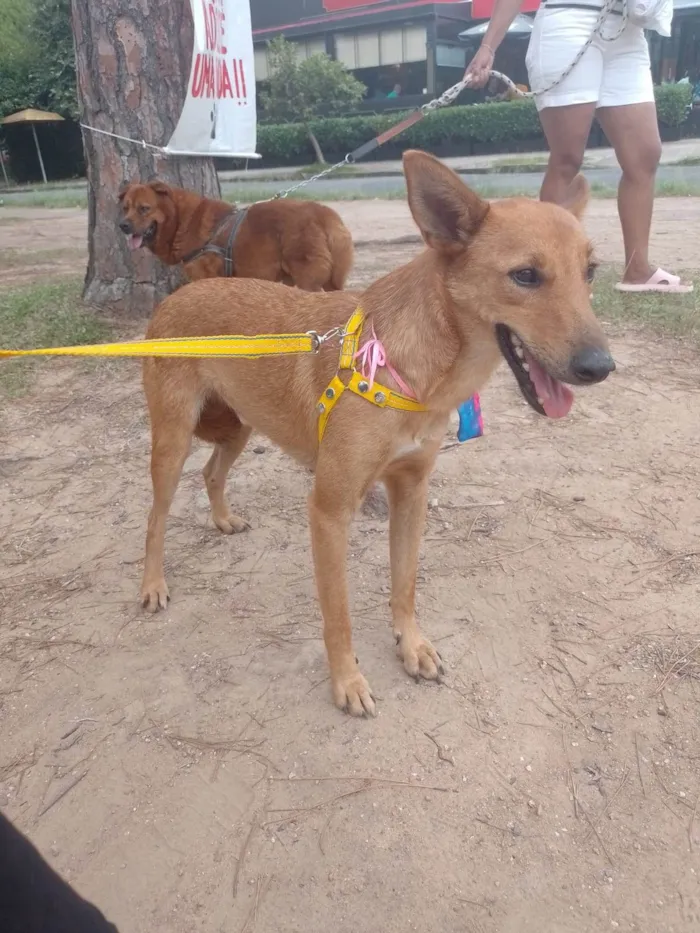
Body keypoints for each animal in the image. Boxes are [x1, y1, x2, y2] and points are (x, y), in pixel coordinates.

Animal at [118, 178, 356, 288]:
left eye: (144, 208)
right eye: (125, 207)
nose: (123, 226)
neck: (182, 220)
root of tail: (322, 212)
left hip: (309, 280)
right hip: (330, 282)